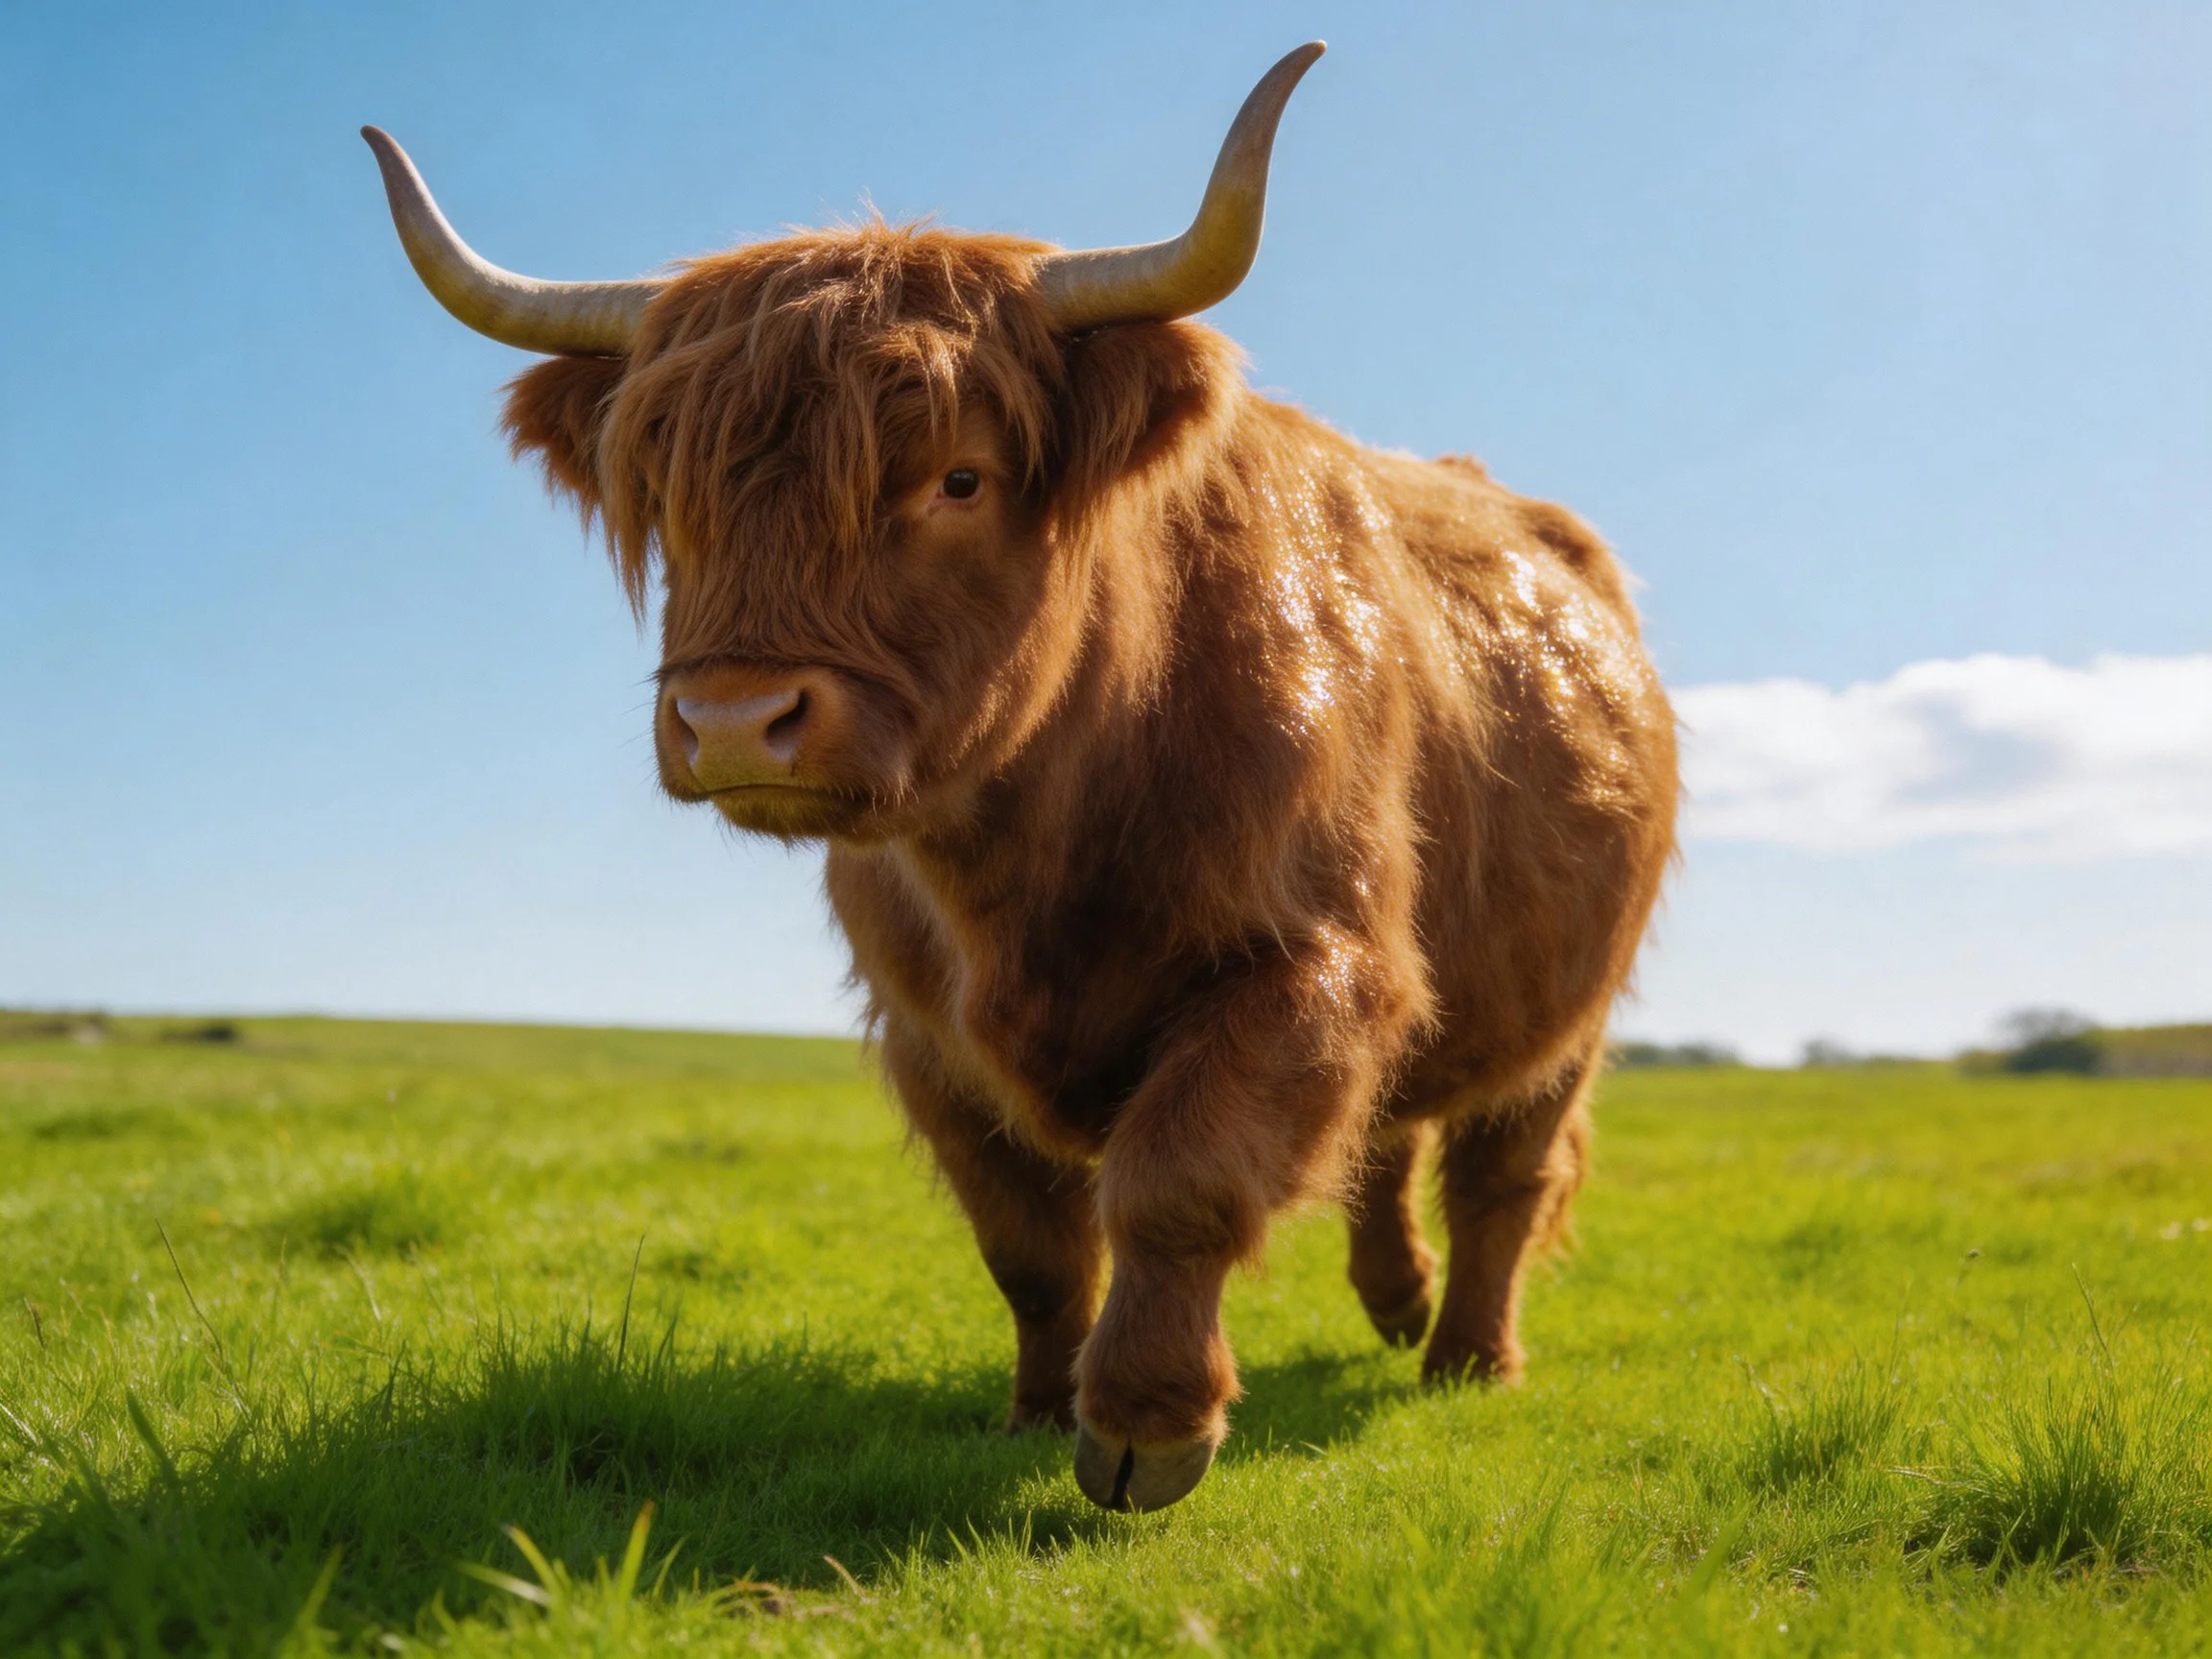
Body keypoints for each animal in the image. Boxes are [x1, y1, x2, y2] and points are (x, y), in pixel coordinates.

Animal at [364, 42, 1677, 1513]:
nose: (734, 719)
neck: (1034, 843)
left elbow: (1181, 1183)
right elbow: (1031, 1244)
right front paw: (1038, 1410)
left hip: (1571, 1005)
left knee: (1504, 1170)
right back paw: (1398, 1305)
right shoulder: (927, 1034)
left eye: (960, 479)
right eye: (674, 498)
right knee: (1388, 1137)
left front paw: (1147, 1425)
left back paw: (1466, 1358)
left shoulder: (1309, 960)